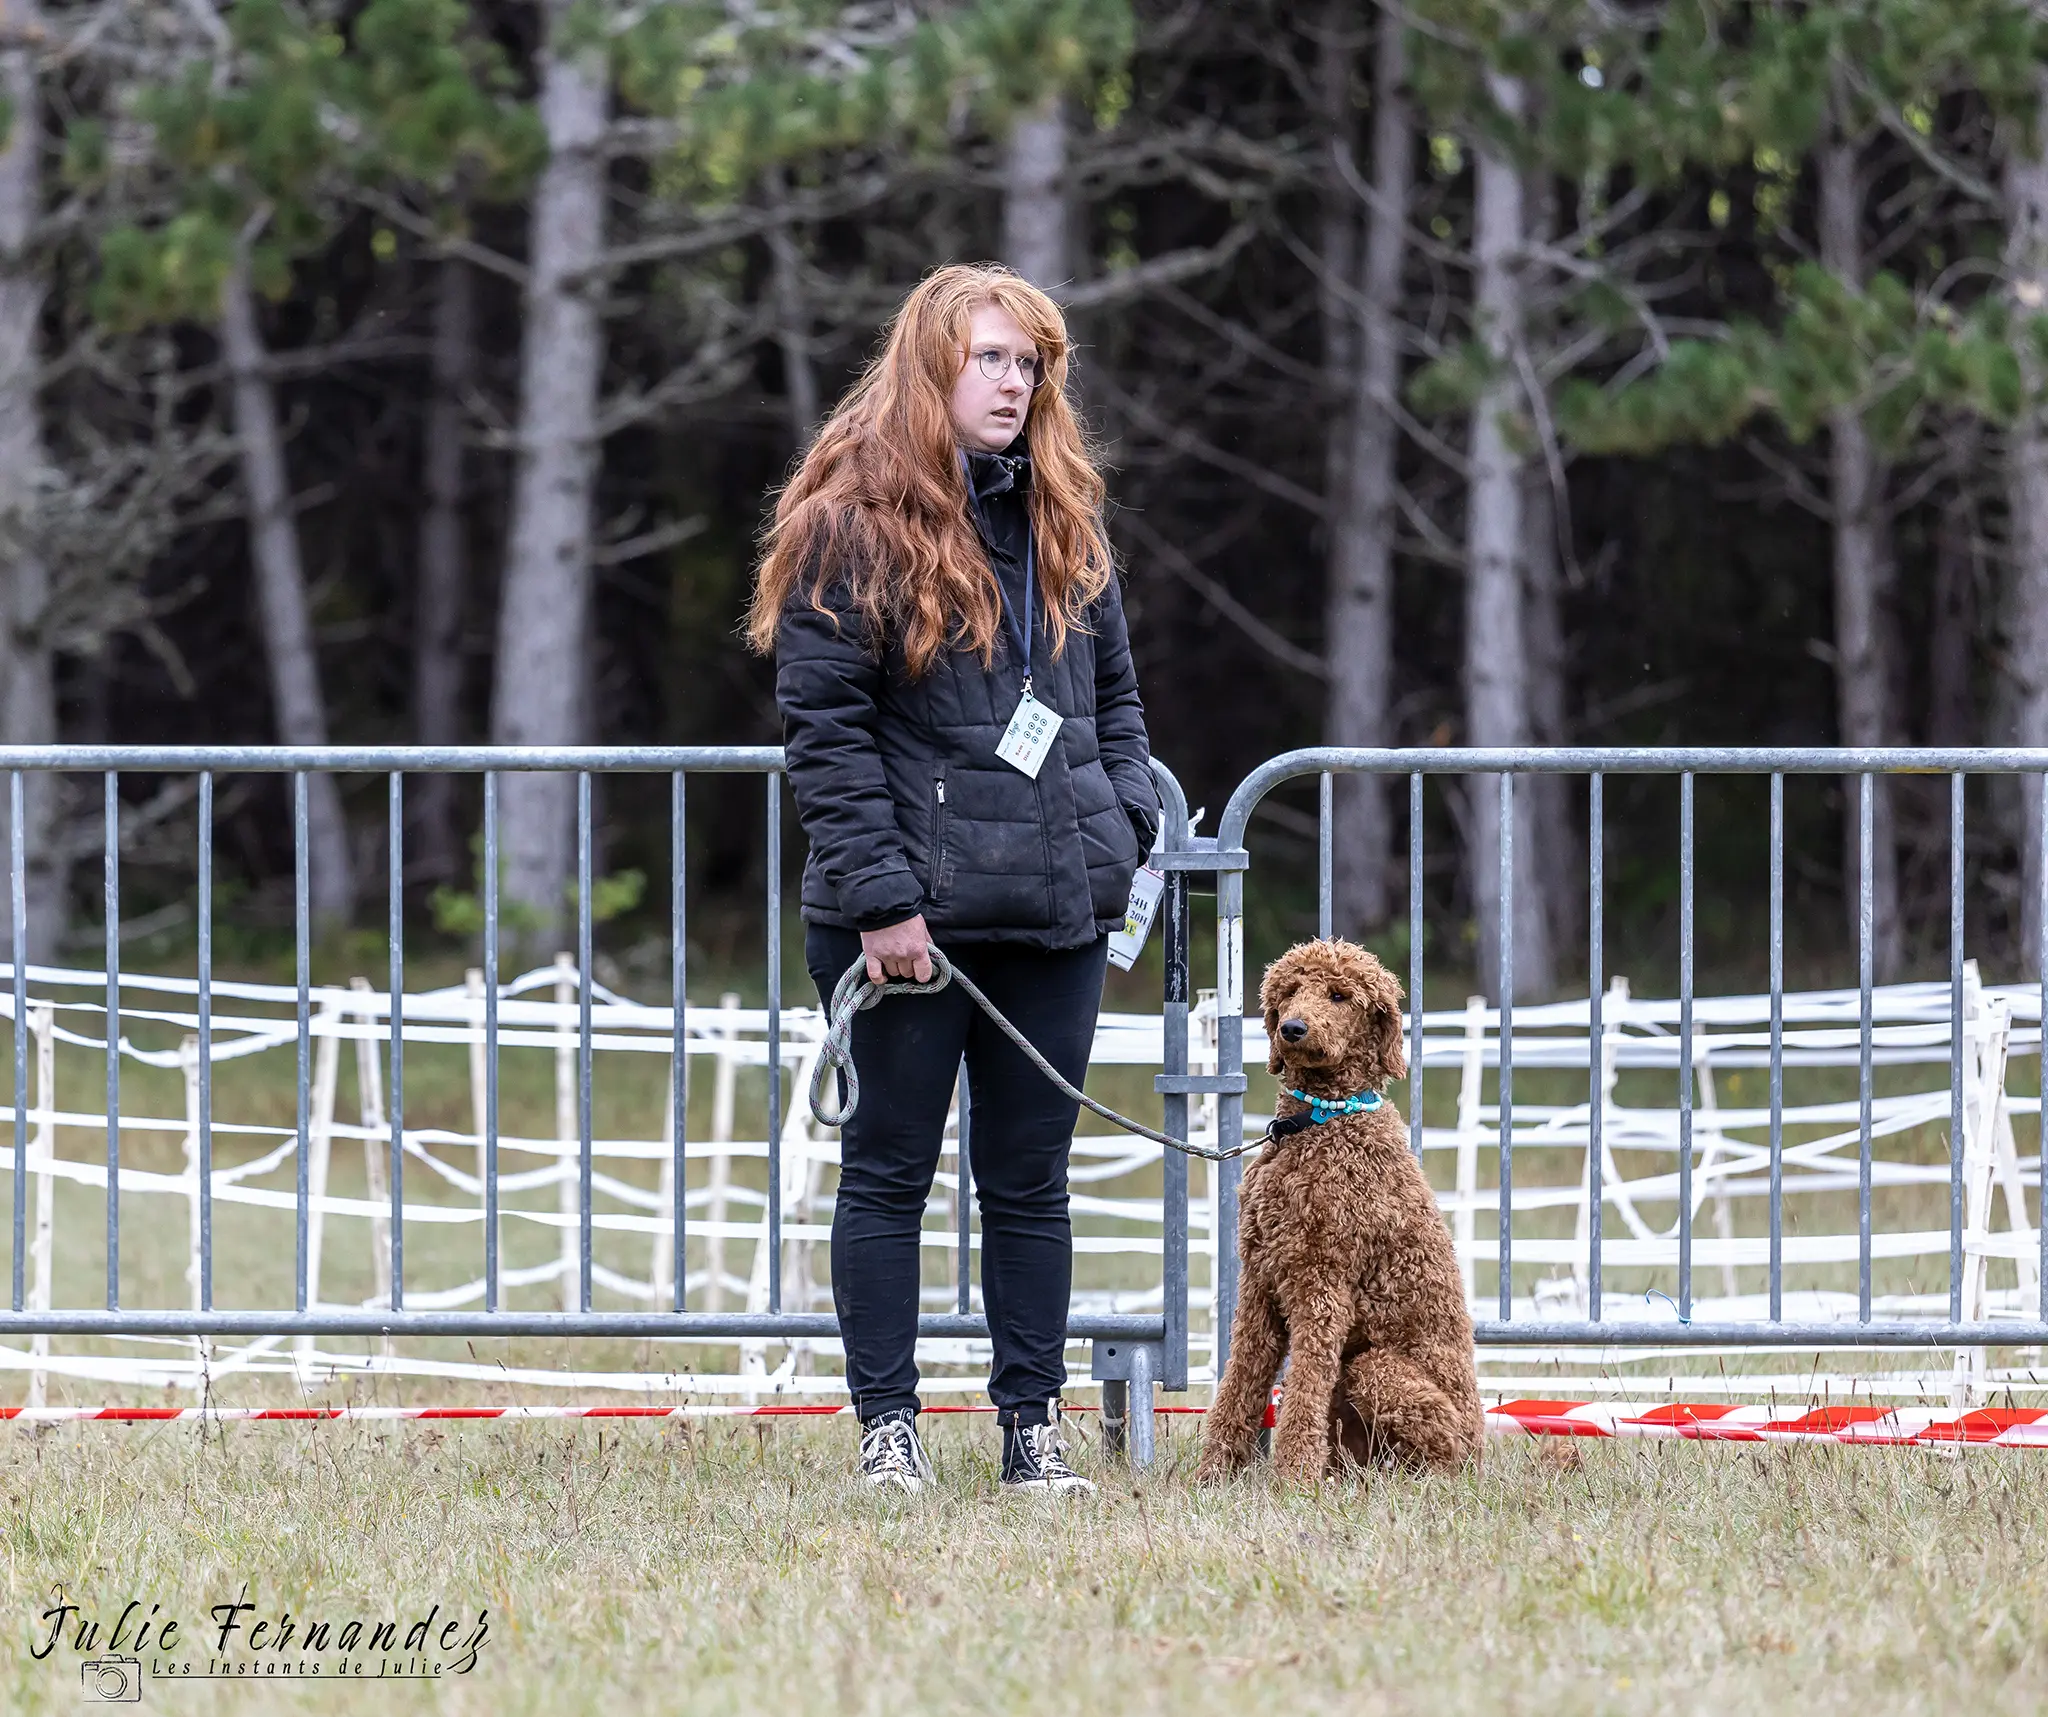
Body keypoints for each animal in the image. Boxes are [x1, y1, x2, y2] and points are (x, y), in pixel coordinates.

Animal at [1196, 934, 1482, 1483]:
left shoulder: (1322, 1287)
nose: (1292, 1028)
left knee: (1444, 1453)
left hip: (1375, 1369)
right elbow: (1239, 1382)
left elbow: (1302, 1393)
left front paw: (1292, 1480)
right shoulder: (1259, 1284)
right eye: (1289, 991)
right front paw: (1211, 1476)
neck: (1319, 1123)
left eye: (1339, 996)